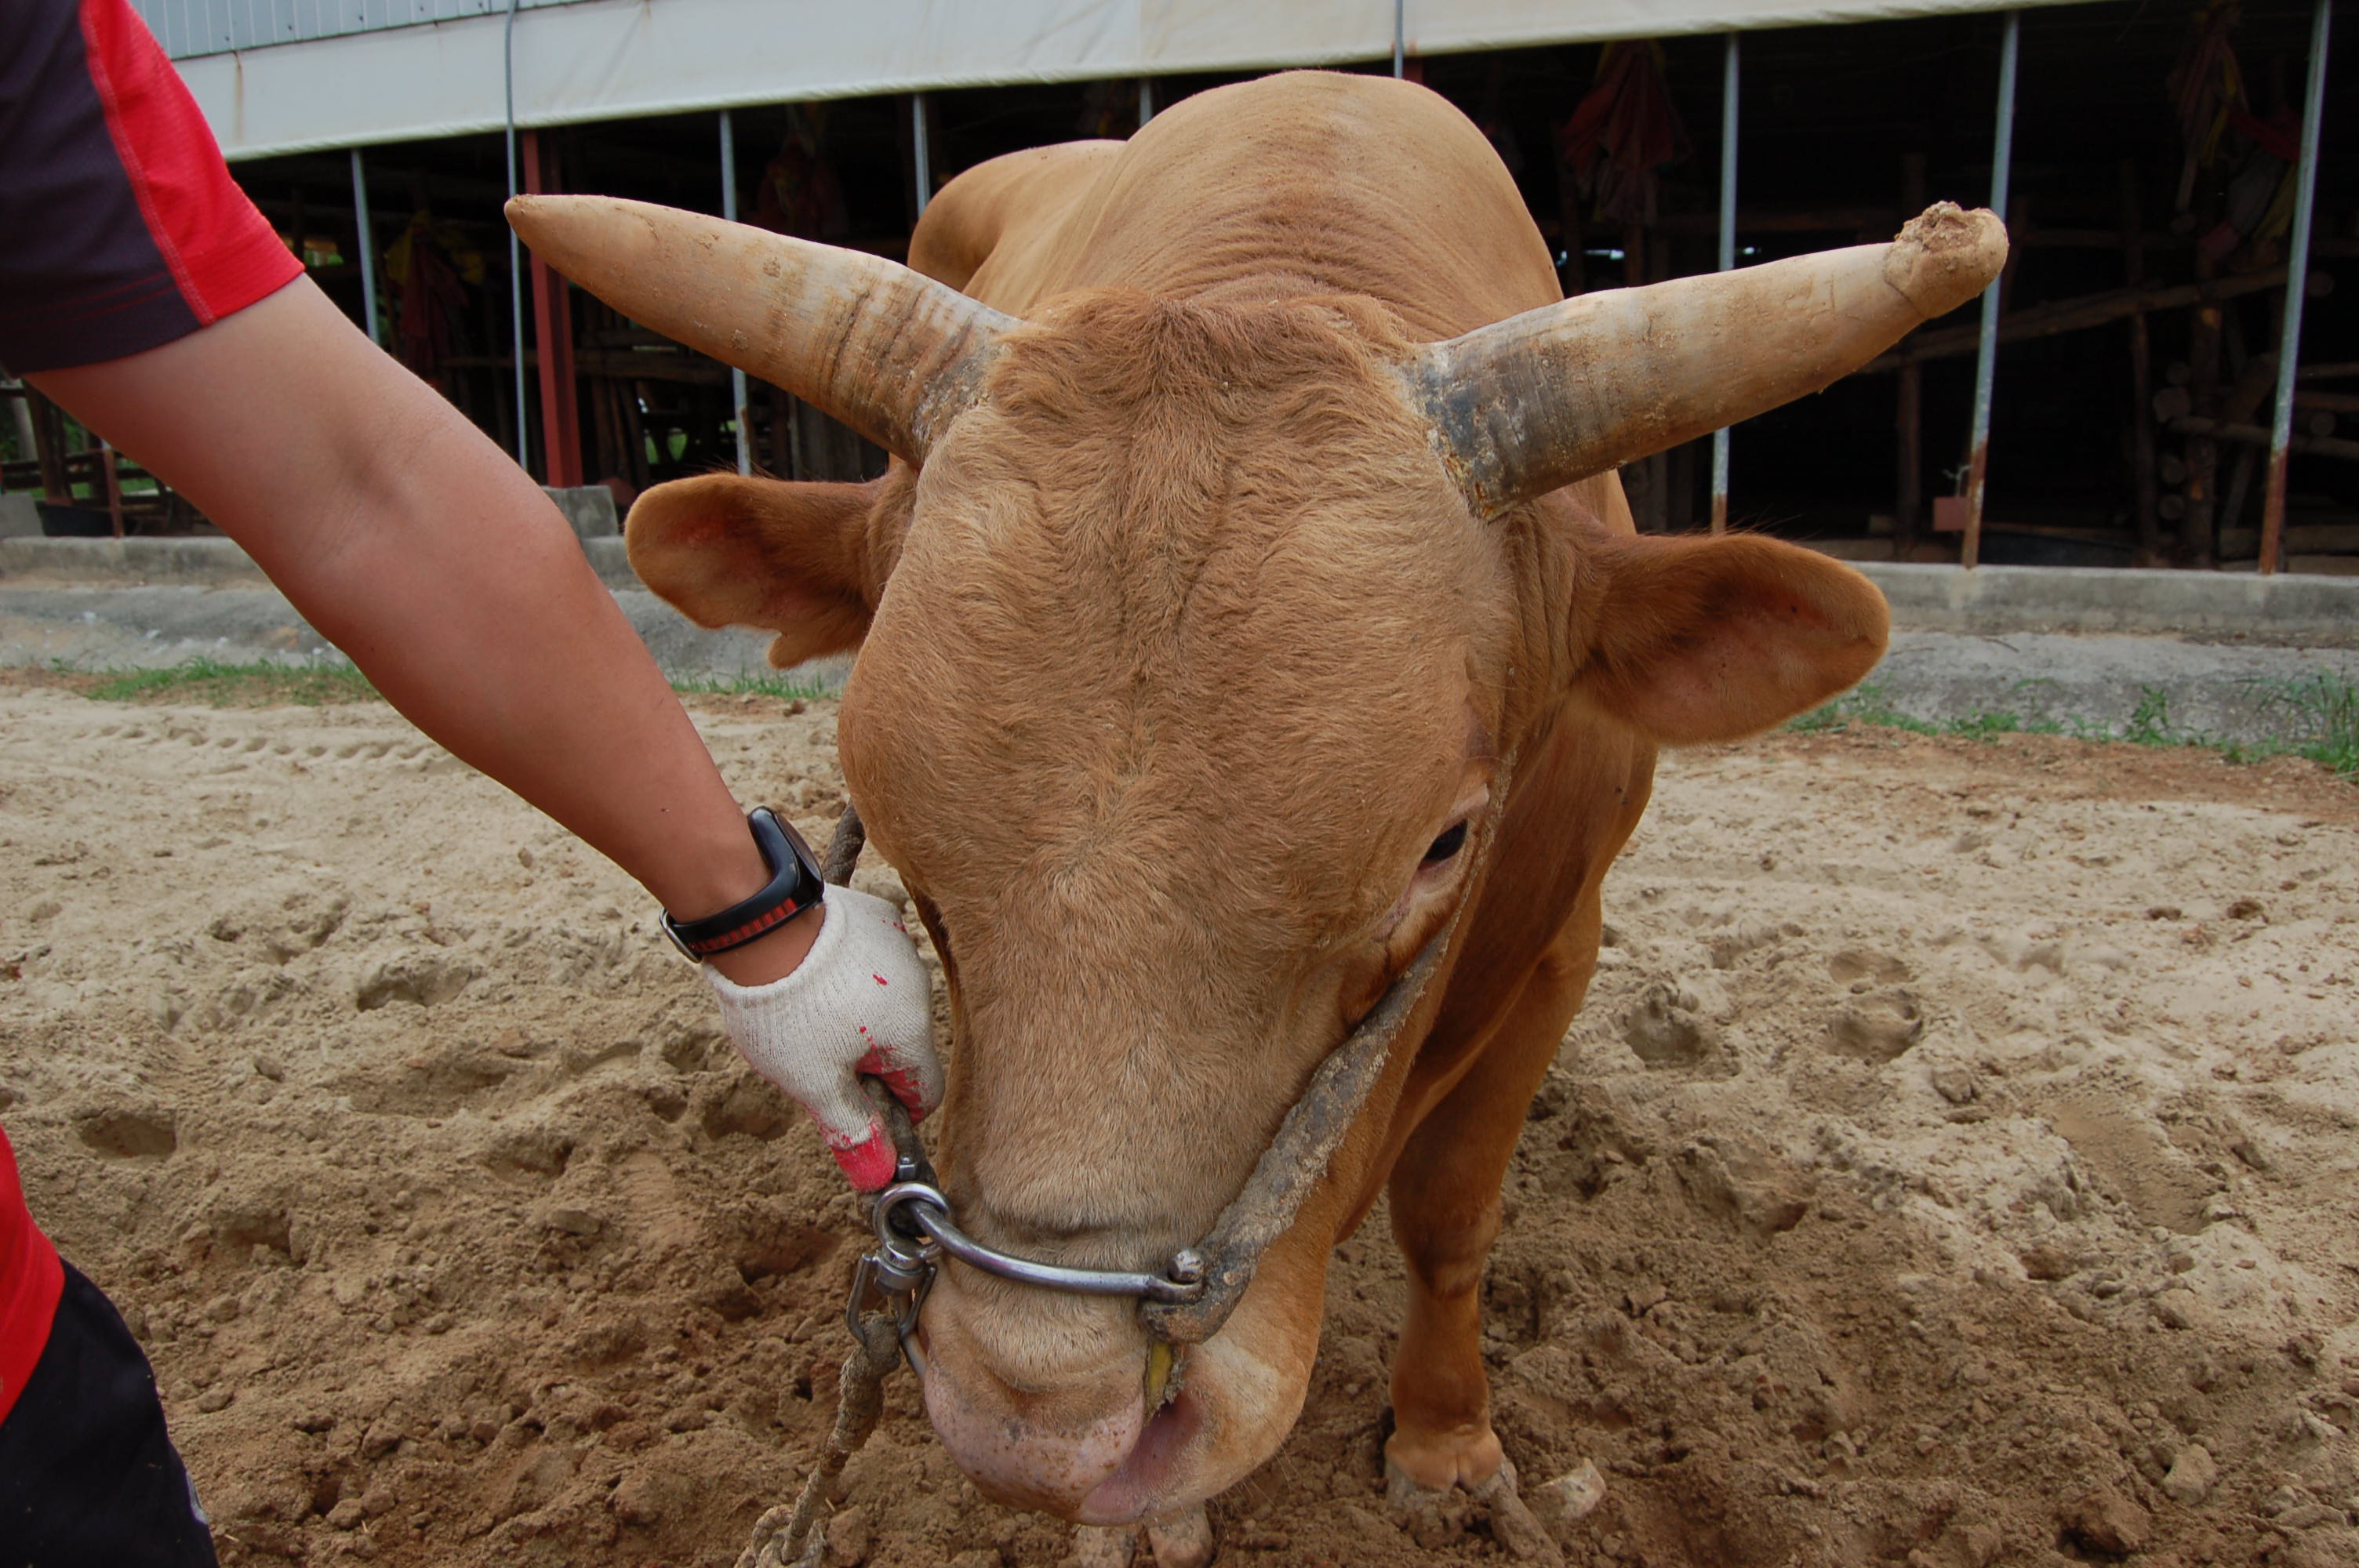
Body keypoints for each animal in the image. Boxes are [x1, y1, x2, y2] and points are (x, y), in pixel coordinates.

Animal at [507, 70, 2000, 1555]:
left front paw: (1446, 1443)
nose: (1041, 1423)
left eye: (1443, 845)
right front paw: (1141, 1524)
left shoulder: (1556, 946)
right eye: (901, 841)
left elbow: (1451, 1213)